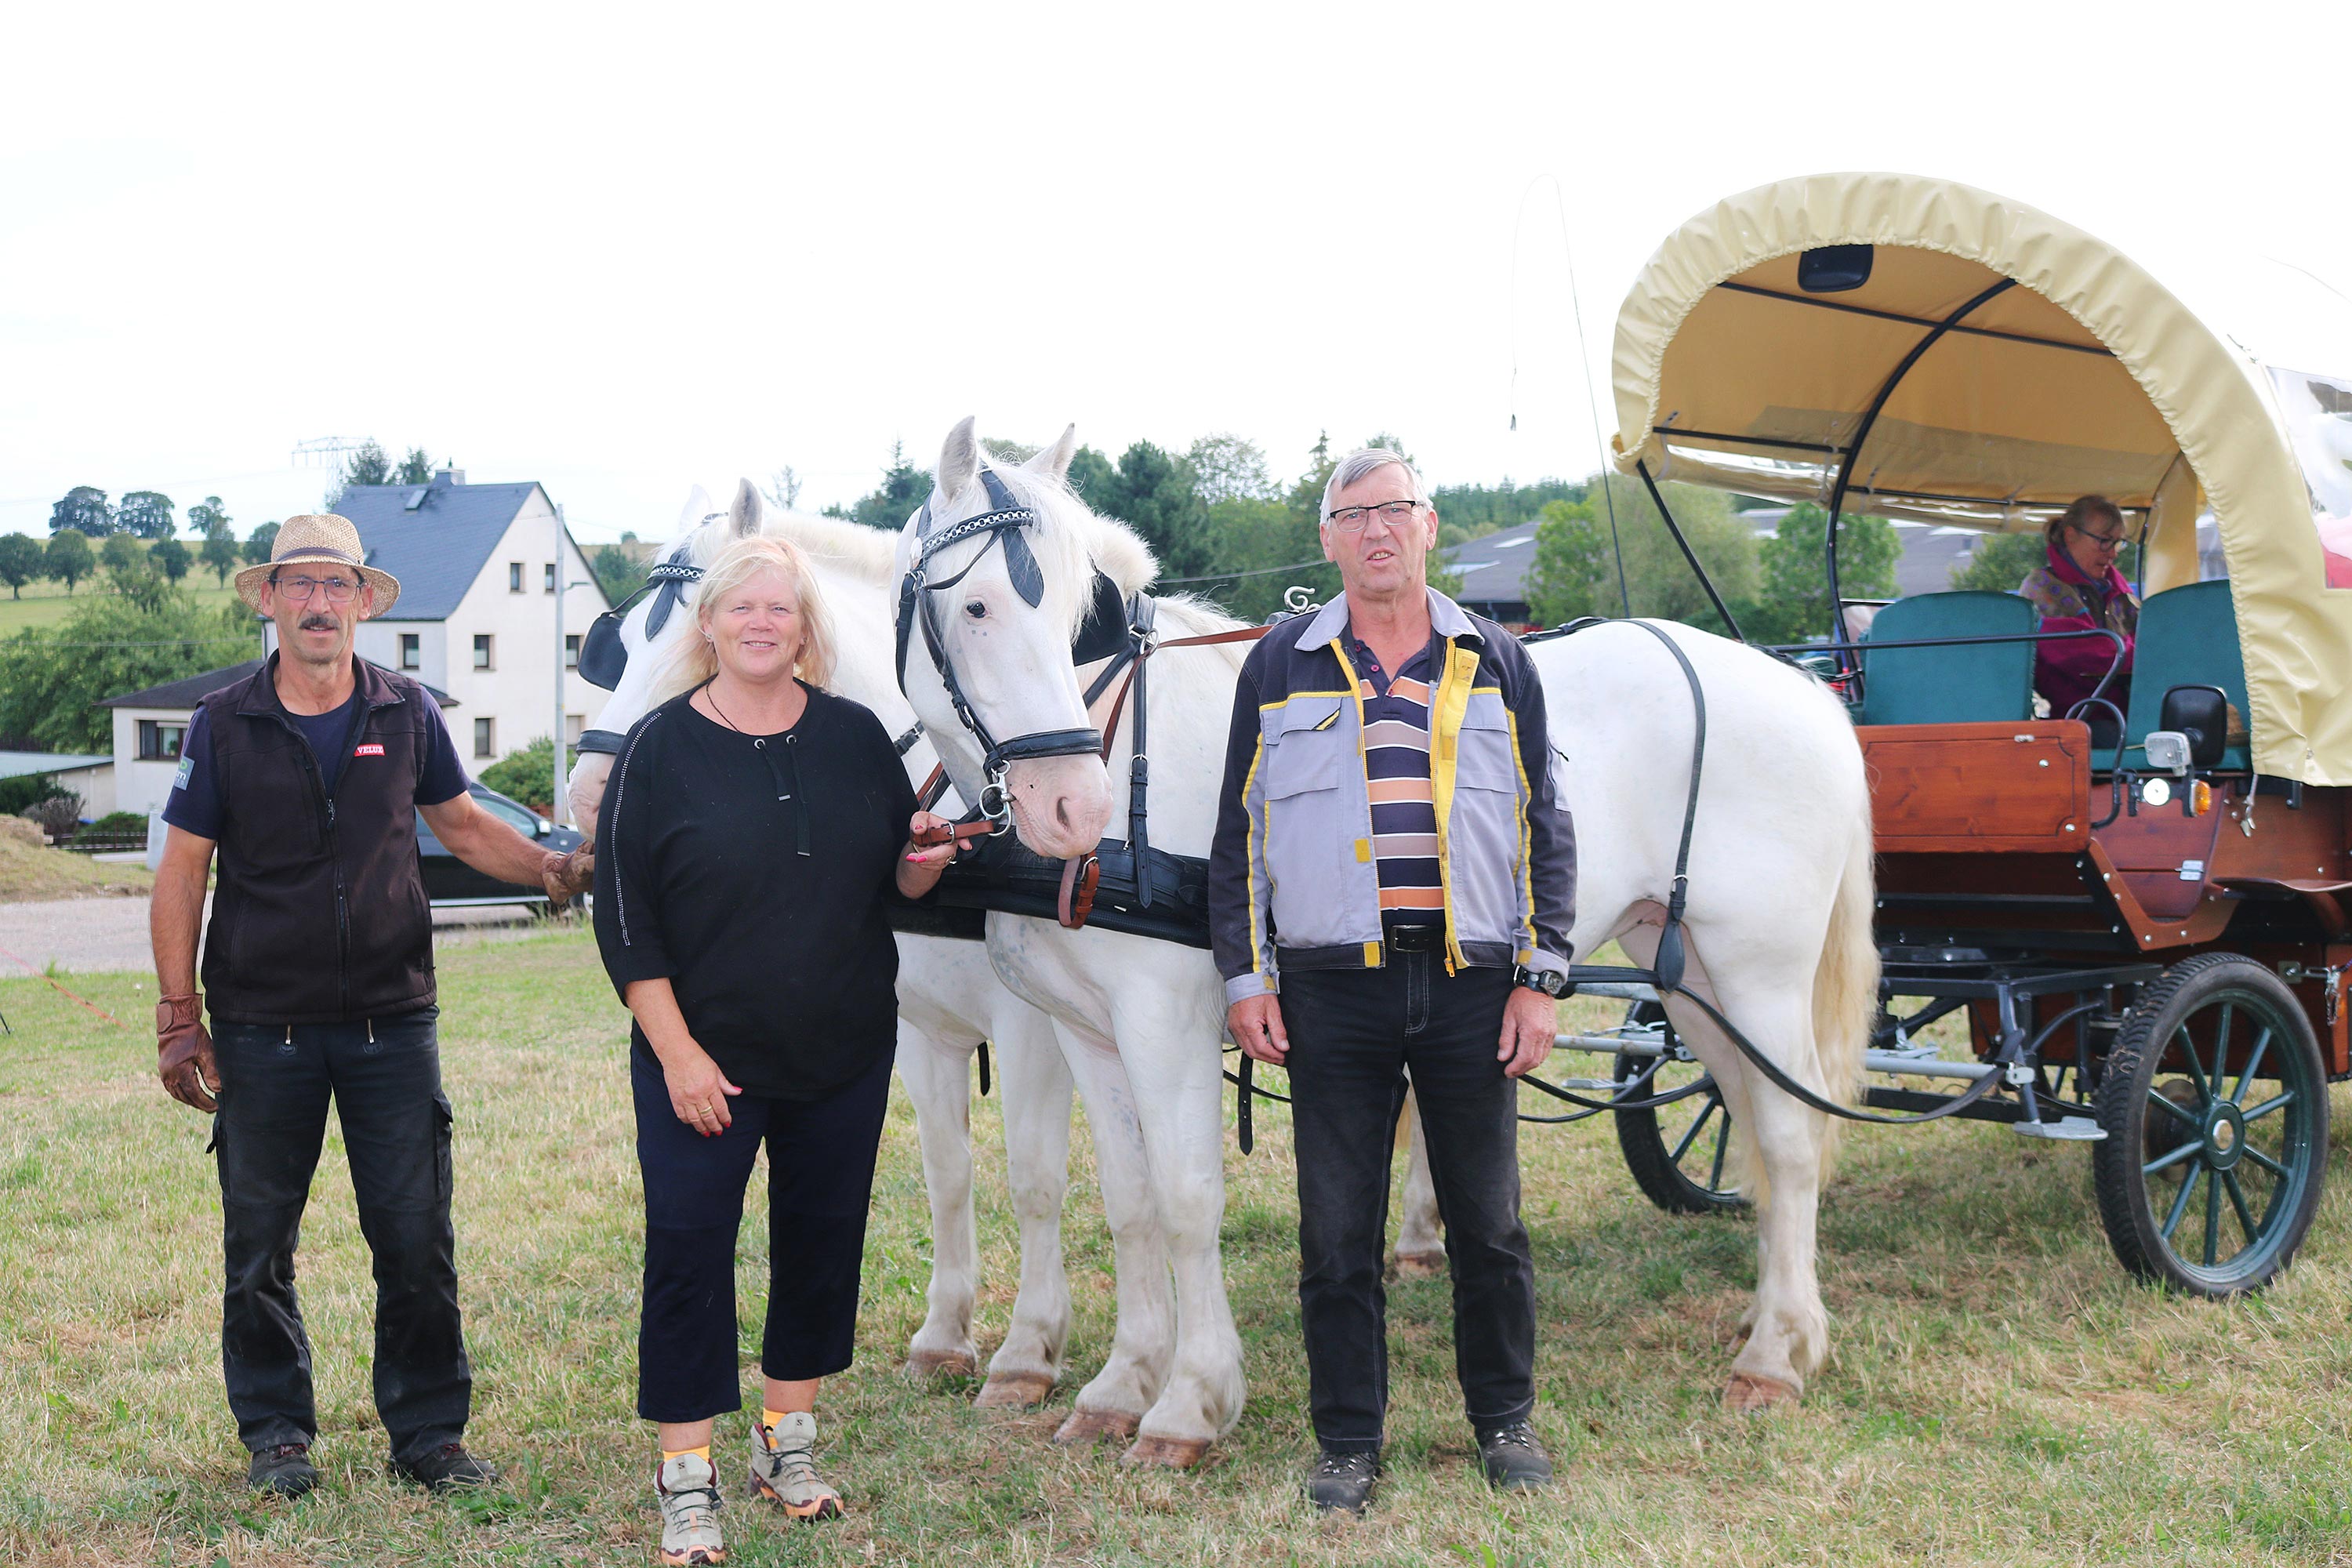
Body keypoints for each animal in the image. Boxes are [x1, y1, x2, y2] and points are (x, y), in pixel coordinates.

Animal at [898, 423, 1872, 1420]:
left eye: (1075, 618)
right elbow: (1128, 1198)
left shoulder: (1163, 1025)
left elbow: (1184, 1197)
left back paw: (1779, 1349)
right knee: (1750, 1107)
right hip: (1687, 971)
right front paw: (1122, 1380)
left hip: (1759, 969)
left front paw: (1191, 1396)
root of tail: (1806, 687)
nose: (1074, 806)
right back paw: (1774, 1313)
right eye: (976, 606)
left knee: (1790, 1135)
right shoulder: (1085, 1029)